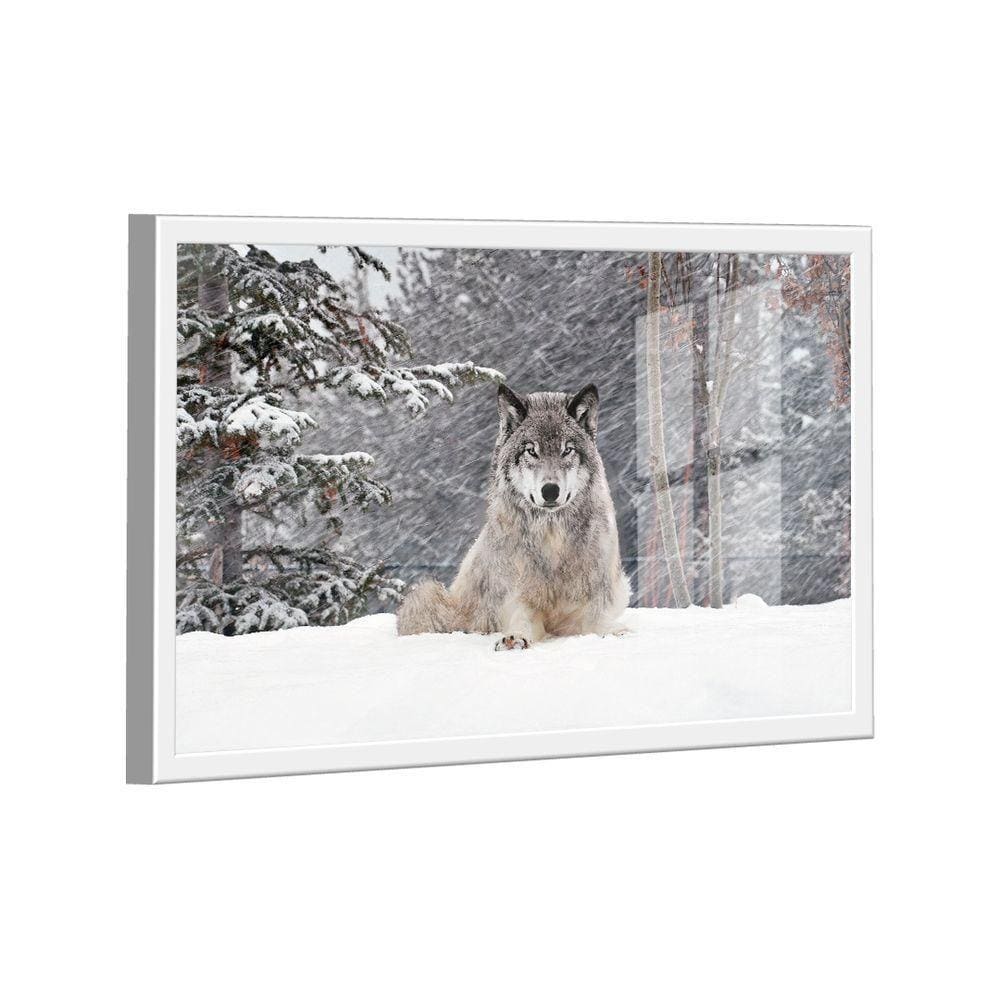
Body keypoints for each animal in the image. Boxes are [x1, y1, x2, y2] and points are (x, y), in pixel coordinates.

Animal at [396, 382, 630, 650]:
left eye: (567, 450)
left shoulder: (592, 602)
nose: (550, 491)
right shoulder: (520, 599)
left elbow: (598, 621)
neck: (553, 540)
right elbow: (522, 620)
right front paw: (515, 637)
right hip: (428, 597)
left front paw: (615, 632)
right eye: (531, 451)